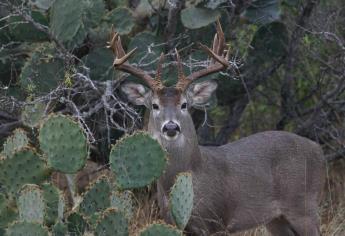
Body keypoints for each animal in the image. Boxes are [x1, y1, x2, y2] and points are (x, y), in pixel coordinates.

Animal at [109, 21, 326, 235]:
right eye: (155, 105)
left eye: (184, 104)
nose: (171, 126)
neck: (192, 170)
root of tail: (318, 150)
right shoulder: (173, 222)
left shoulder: (217, 221)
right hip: (276, 219)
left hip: (303, 204)